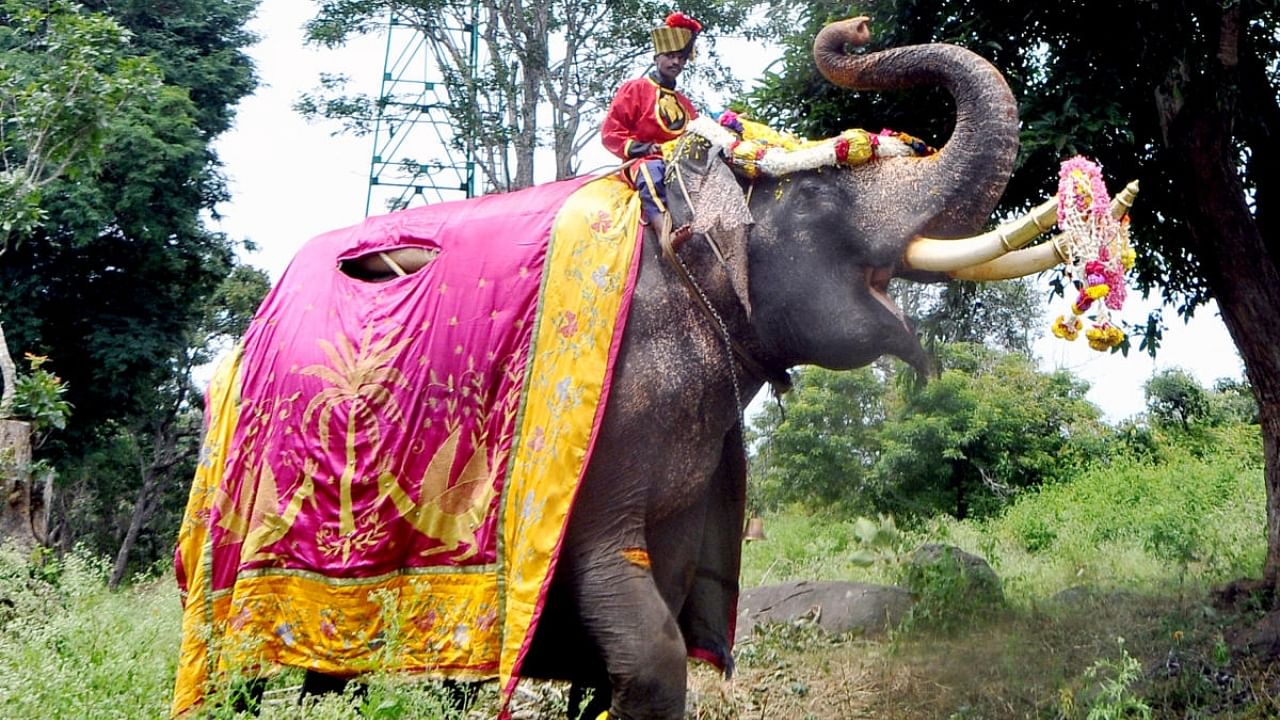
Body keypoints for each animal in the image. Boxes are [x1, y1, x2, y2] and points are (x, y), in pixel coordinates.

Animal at [172, 15, 1141, 717]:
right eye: (823, 198)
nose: (854, 29)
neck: (686, 200)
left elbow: (658, 611)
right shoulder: (601, 426)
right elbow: (648, 641)